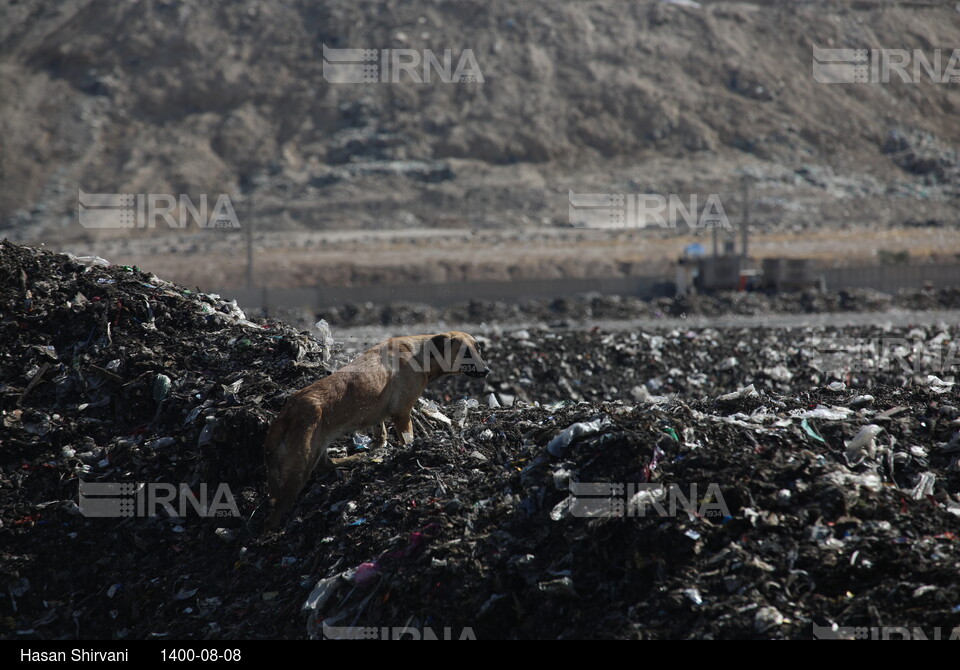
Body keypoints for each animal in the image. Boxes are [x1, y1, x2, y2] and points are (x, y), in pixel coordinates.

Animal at [262, 330, 488, 532]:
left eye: (478, 349)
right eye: (466, 353)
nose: (486, 371)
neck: (421, 353)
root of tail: (287, 412)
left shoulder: (378, 413)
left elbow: (381, 433)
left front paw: (378, 448)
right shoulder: (402, 412)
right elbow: (407, 437)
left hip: (315, 449)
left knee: (327, 465)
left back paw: (354, 459)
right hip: (300, 466)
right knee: (277, 509)